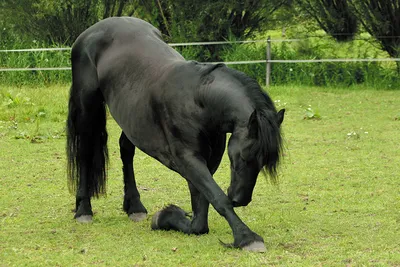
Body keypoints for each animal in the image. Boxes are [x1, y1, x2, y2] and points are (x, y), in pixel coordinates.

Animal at [66, 17, 284, 253]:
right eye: (244, 157)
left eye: (264, 162)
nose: (240, 200)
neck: (199, 101)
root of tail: (92, 31)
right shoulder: (187, 159)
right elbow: (216, 197)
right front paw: (247, 237)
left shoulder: (208, 160)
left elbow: (201, 212)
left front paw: (166, 217)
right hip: (88, 107)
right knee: (85, 152)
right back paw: (84, 210)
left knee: (126, 150)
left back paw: (135, 207)